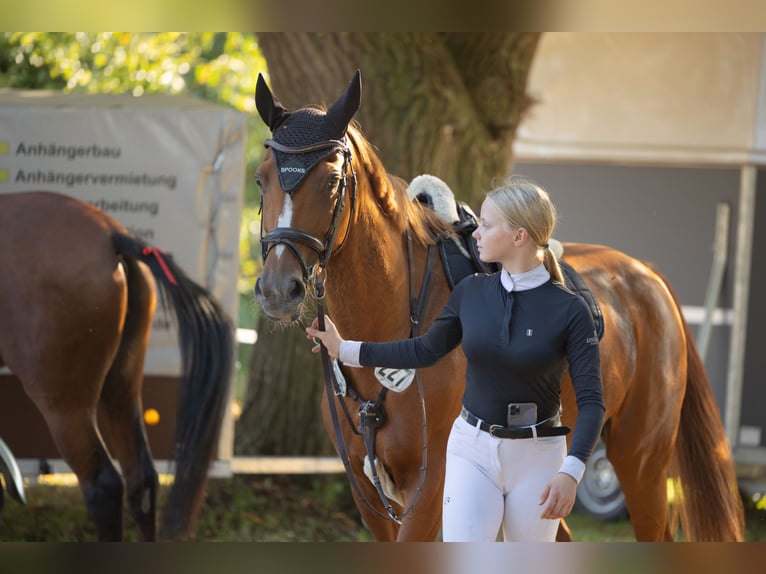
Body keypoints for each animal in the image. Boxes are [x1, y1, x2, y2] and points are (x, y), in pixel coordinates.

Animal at [255, 70, 748, 544]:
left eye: (332, 181)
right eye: (261, 179)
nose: (279, 289)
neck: (392, 319)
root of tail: (646, 275)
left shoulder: (430, 488)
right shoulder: (368, 493)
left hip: (641, 459)